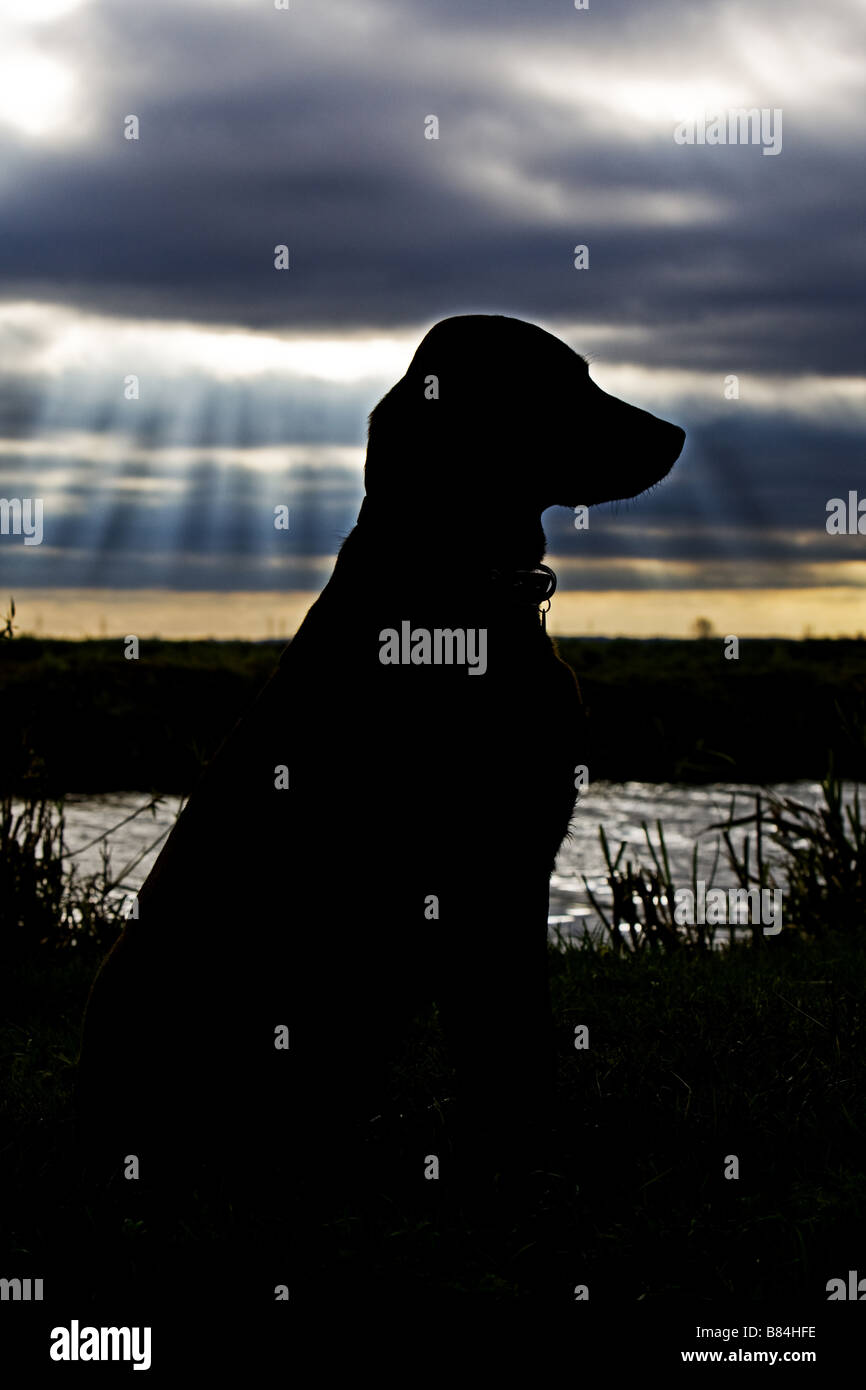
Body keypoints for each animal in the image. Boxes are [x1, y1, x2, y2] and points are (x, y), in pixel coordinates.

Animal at [76, 312, 683, 1217]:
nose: (677, 433)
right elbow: (509, 1042)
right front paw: (529, 1166)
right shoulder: (480, 876)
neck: (461, 586)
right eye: (560, 382)